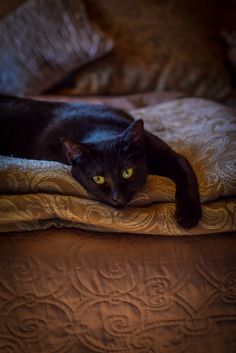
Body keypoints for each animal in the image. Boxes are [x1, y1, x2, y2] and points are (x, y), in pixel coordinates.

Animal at [0, 96, 202, 228]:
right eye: (98, 179)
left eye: (127, 172)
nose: (117, 198)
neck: (101, 130)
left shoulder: (169, 155)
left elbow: (187, 175)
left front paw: (189, 214)